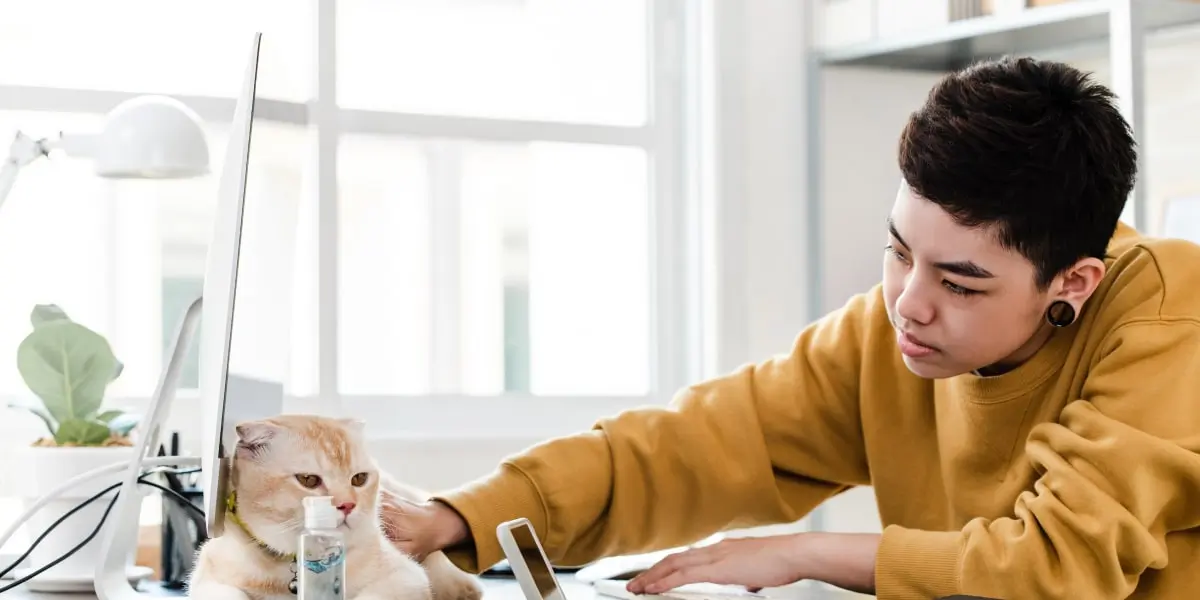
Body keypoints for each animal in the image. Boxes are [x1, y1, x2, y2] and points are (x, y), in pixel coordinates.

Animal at [187, 415, 477, 600]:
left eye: (359, 479)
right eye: (308, 480)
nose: (347, 504)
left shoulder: (406, 577)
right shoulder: (206, 577)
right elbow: (229, 593)